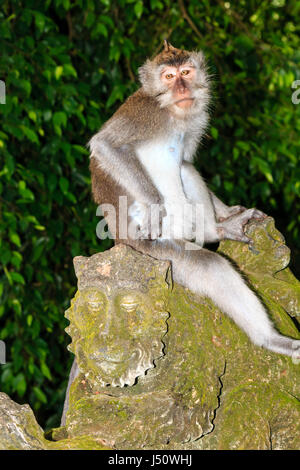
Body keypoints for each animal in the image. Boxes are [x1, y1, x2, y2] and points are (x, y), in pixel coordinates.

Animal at [60, 42, 298, 426]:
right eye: (169, 76)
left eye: (186, 72)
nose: (183, 88)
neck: (172, 113)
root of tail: (119, 244)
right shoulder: (144, 115)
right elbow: (107, 146)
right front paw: (155, 204)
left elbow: (186, 158)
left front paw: (227, 215)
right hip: (154, 253)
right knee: (208, 265)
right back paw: (270, 340)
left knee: (185, 168)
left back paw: (217, 227)